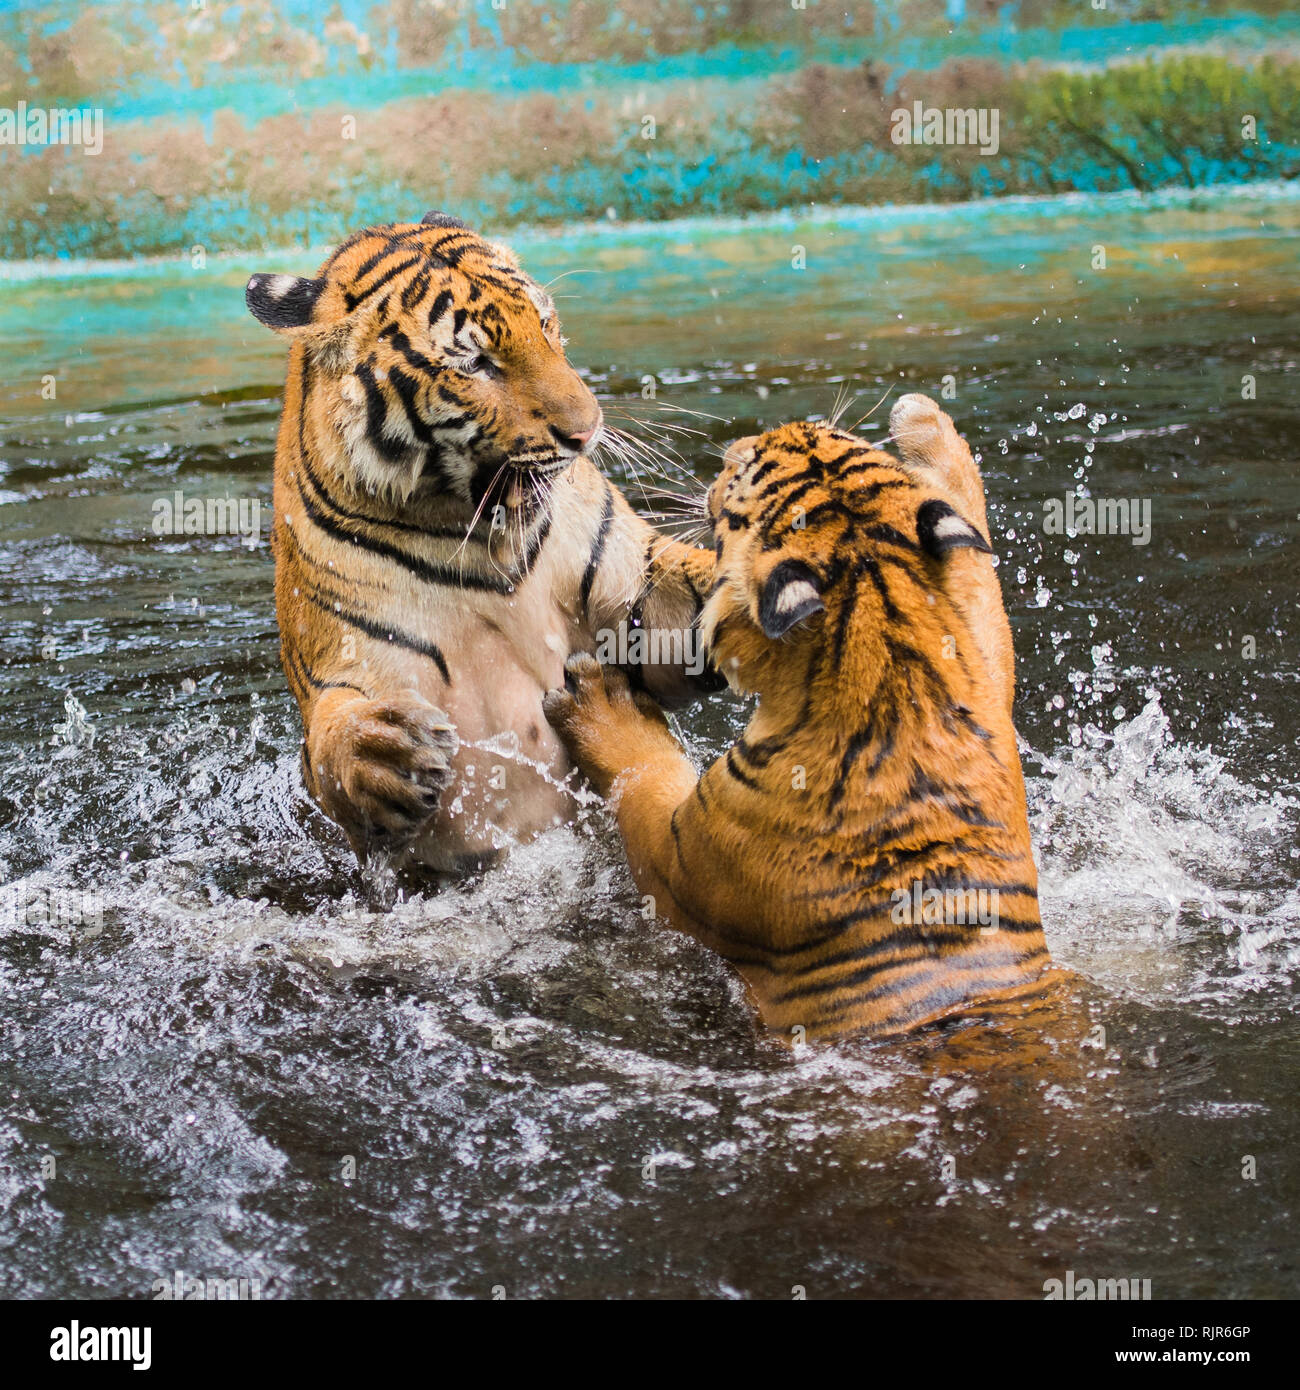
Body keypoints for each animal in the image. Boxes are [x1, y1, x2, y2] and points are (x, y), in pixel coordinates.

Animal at [244, 211, 711, 872]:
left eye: (546, 325)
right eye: (476, 364)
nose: (588, 430)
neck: (476, 537)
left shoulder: (634, 585)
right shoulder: (344, 662)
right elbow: (334, 738)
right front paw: (382, 749)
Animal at [545, 397, 1062, 1039]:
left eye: (741, 475)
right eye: (832, 439)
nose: (737, 443)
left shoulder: (681, 862)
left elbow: (639, 771)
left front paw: (598, 697)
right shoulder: (974, 656)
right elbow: (980, 574)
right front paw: (922, 419)